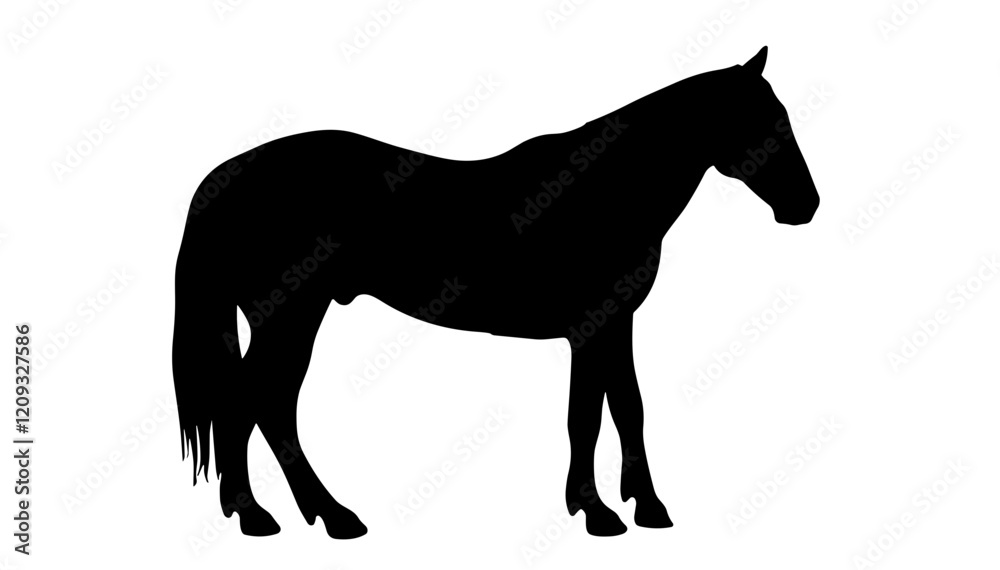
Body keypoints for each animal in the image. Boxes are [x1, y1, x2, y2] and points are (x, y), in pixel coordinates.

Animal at [172, 46, 819, 539]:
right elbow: (585, 416)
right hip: (290, 313)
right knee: (260, 402)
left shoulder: (616, 321)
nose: (805, 205)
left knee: (262, 404)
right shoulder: (590, 324)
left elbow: (627, 408)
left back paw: (286, 512)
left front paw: (647, 505)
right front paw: (597, 511)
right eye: (762, 120)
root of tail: (228, 176)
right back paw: (291, 516)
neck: (604, 189)